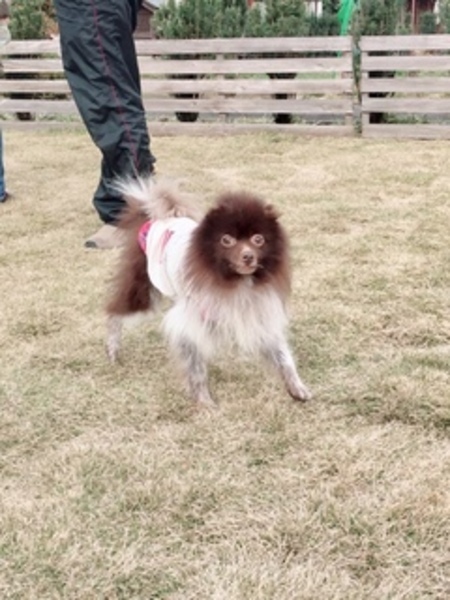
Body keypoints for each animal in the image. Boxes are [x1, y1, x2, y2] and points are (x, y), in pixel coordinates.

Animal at [106, 178, 311, 408]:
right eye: (227, 240)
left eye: (258, 239)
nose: (248, 256)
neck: (236, 282)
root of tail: (154, 219)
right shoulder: (190, 321)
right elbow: (195, 366)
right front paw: (204, 401)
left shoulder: (255, 312)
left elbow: (282, 356)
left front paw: (295, 386)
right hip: (144, 288)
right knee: (114, 312)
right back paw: (112, 348)